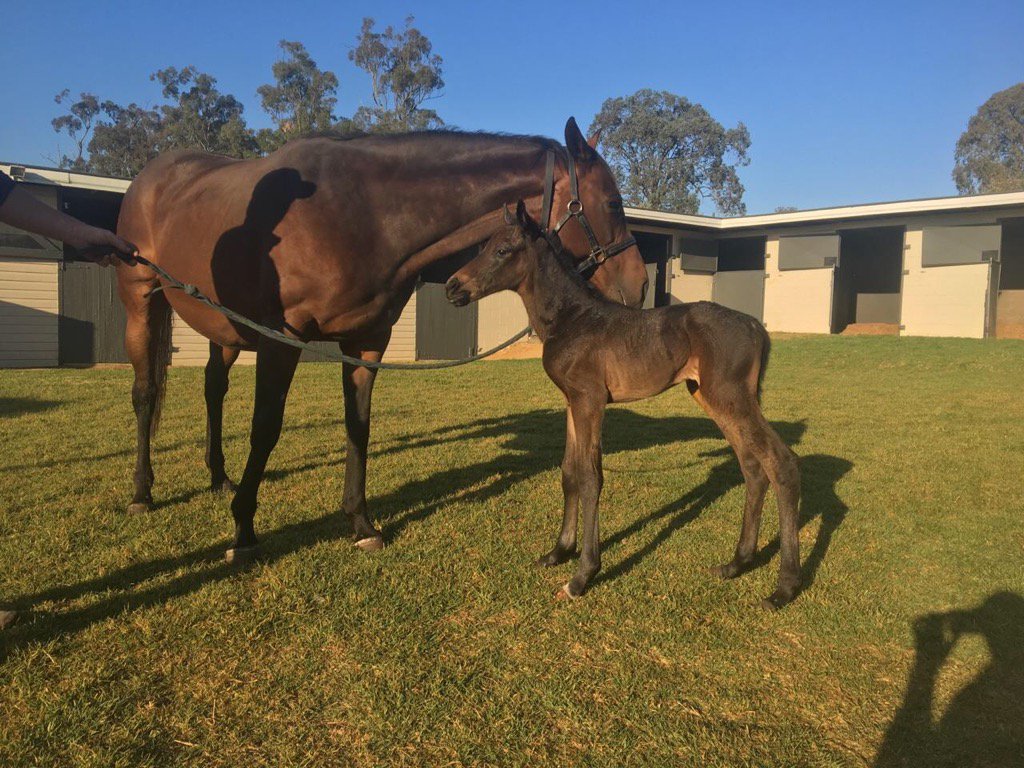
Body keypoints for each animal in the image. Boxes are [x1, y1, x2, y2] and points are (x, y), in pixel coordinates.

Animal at [115, 119, 649, 564]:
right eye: (612, 203)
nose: (641, 285)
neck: (362, 213)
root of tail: (149, 178)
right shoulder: (282, 340)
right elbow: (265, 429)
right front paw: (244, 531)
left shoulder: (368, 341)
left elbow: (359, 426)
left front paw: (361, 523)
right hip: (141, 302)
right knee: (144, 395)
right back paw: (142, 493)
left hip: (224, 328)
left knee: (213, 390)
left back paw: (219, 477)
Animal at [445, 201, 802, 609]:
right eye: (485, 245)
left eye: (503, 250)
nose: (452, 286)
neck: (572, 318)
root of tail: (757, 327)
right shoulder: (573, 401)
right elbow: (569, 472)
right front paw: (558, 551)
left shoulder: (590, 400)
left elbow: (590, 476)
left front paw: (582, 574)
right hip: (712, 397)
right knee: (753, 467)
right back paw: (736, 563)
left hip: (731, 396)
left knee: (781, 463)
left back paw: (784, 587)